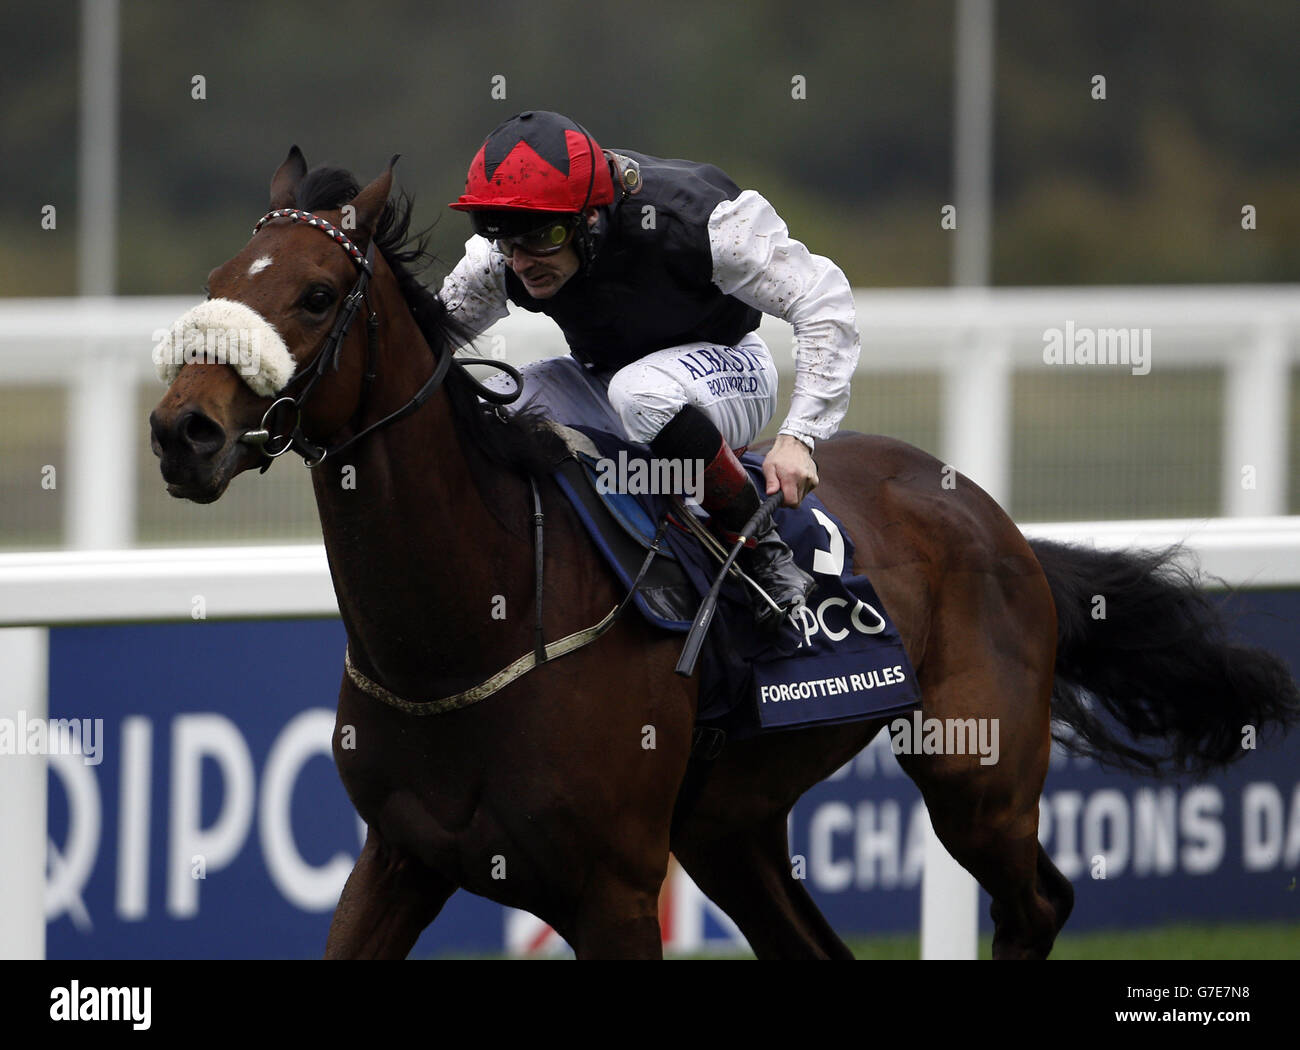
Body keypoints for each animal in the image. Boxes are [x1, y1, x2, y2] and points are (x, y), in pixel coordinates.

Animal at [149, 149, 1300, 961]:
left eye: (313, 295)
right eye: (216, 280)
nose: (181, 431)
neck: (477, 620)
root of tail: (995, 518)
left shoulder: (613, 892)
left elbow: (816, 293)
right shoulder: (398, 859)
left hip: (976, 774)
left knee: (1039, 904)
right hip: (730, 831)